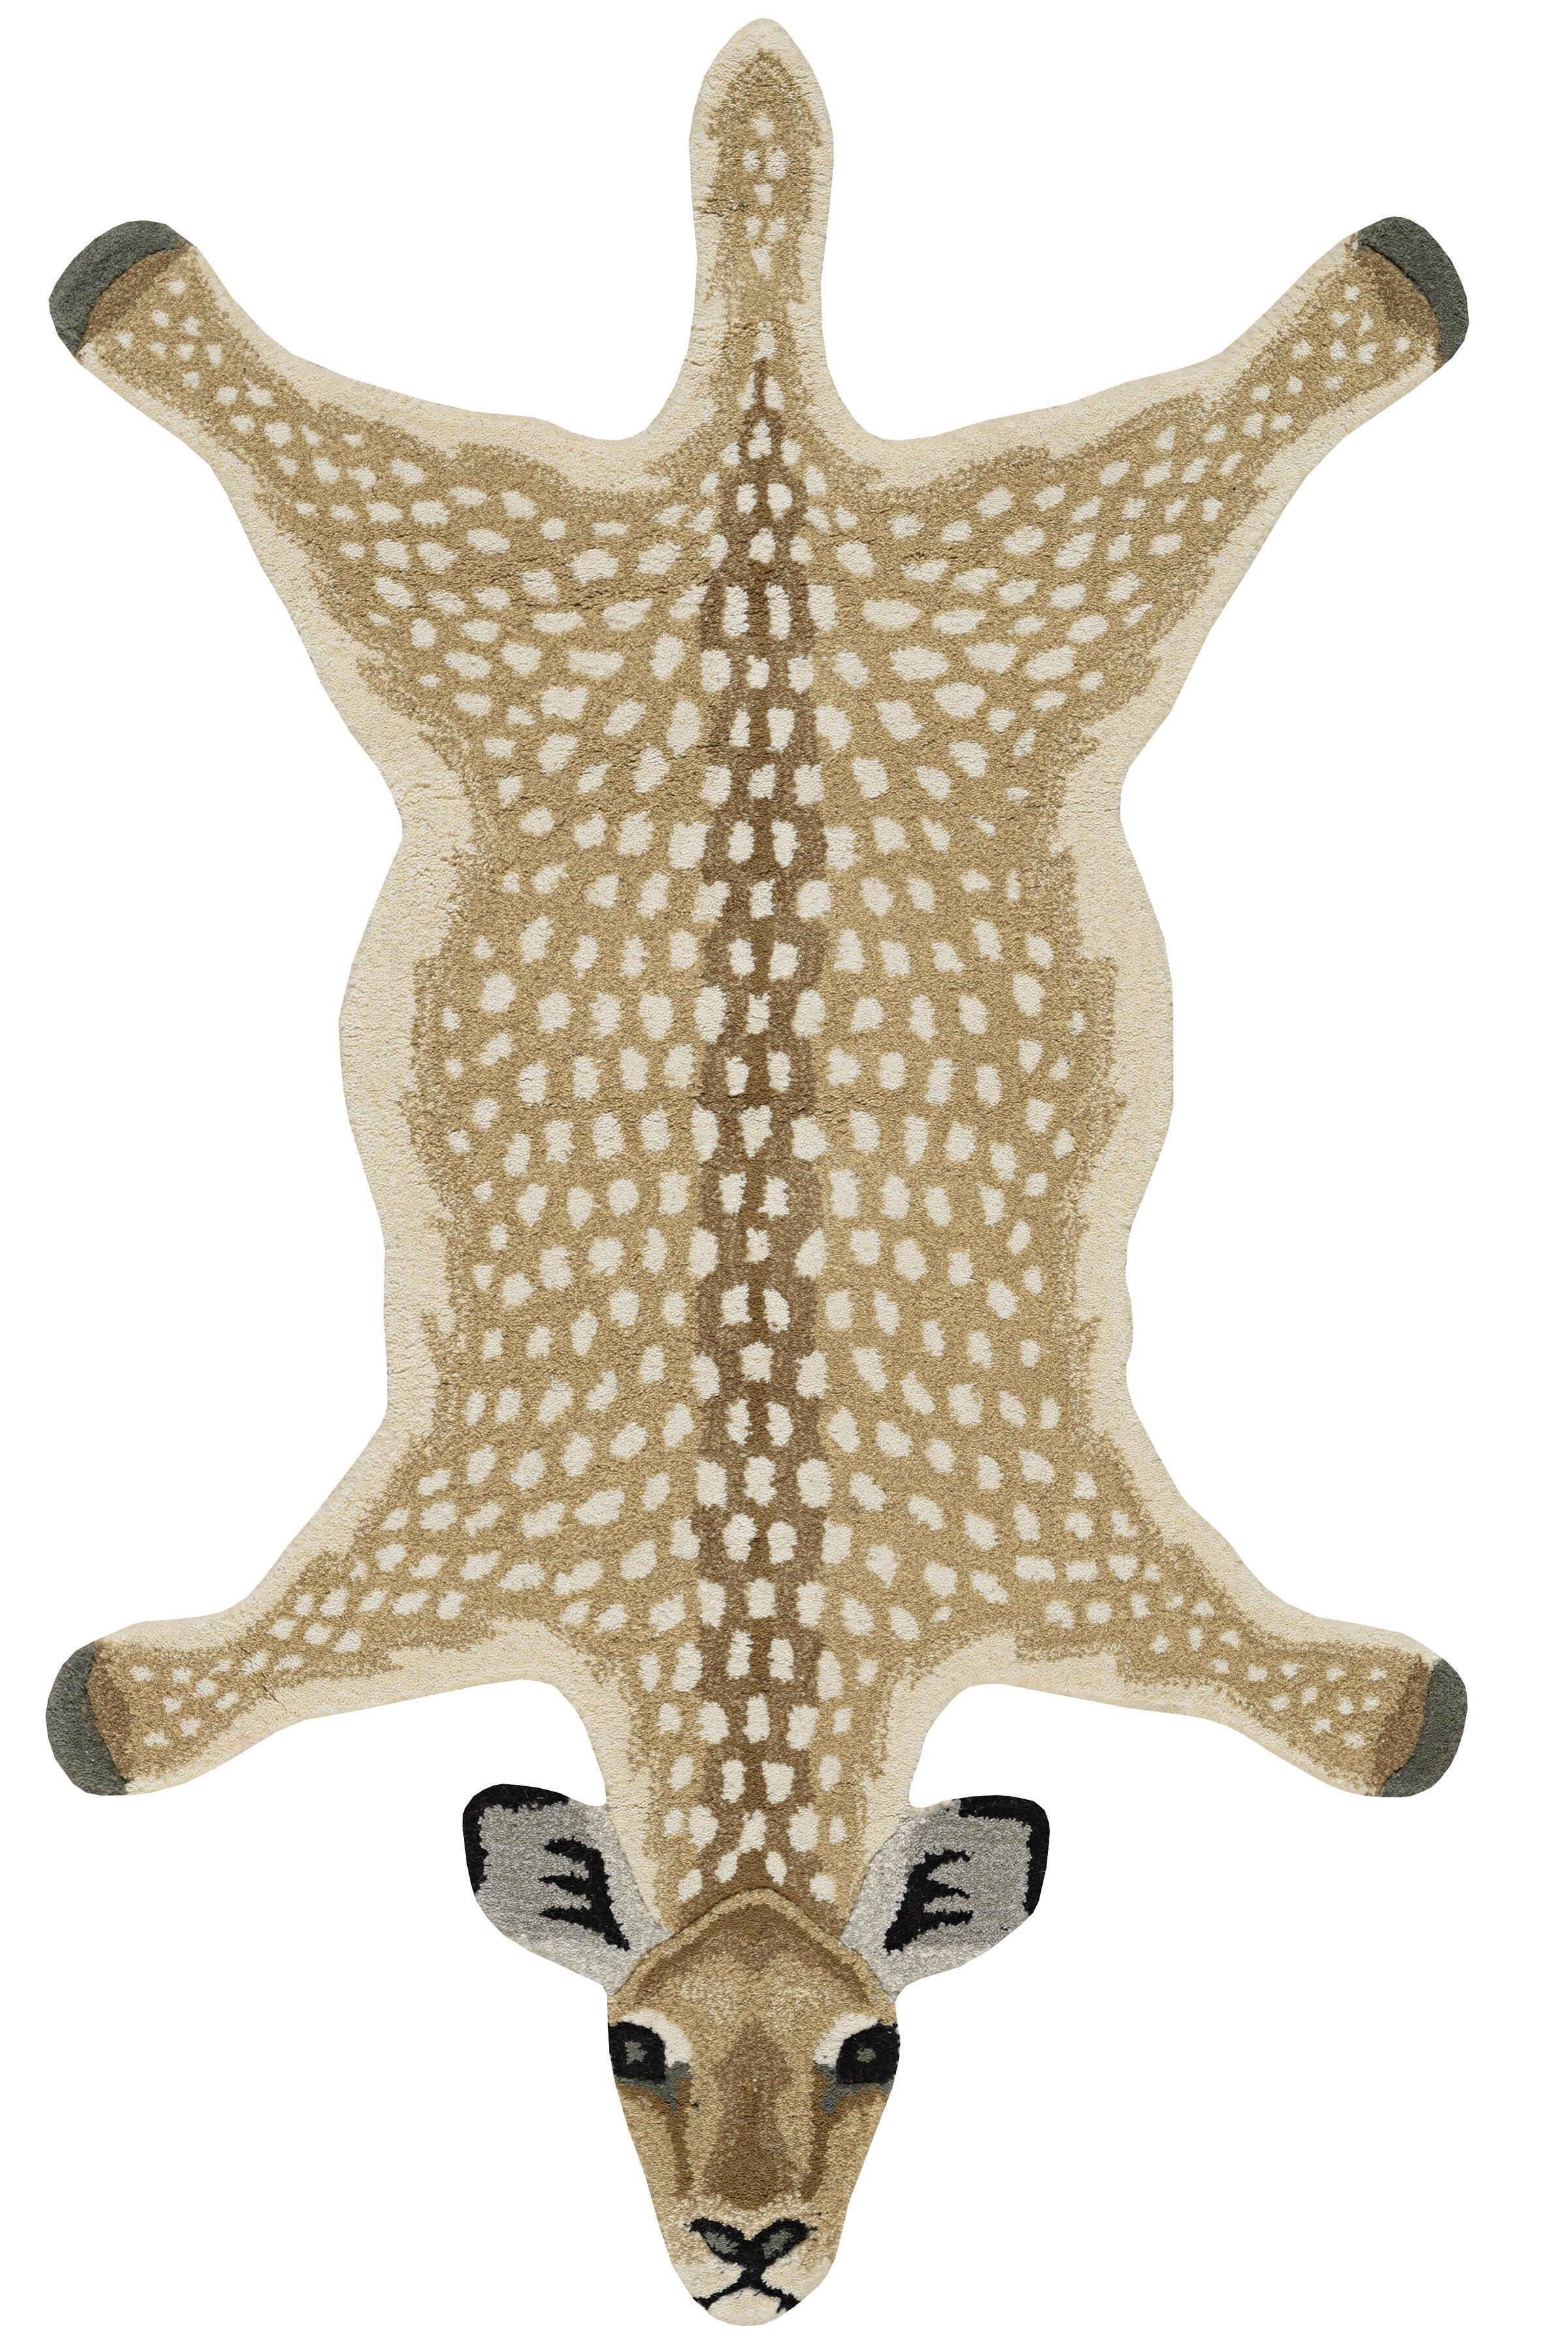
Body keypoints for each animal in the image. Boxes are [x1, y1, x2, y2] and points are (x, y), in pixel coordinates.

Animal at [45, 19, 1466, 2319]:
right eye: (623, 2045)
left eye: (875, 2048)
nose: (749, 2253)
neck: (756, 1569)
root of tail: (761, 441)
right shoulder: (429, 1545)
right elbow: (198, 1686)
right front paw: (134, 1698)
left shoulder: (1085, 1554)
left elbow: (1295, 1686)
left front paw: (1380, 1700)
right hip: (491, 579)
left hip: (1026, 570)